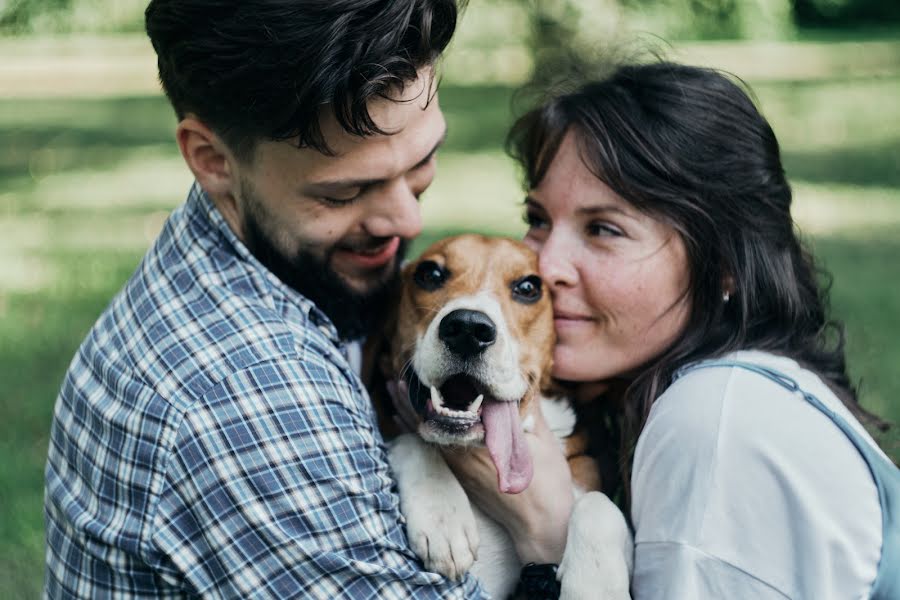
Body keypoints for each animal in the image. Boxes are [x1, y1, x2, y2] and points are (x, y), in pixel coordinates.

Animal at [366, 236, 632, 600]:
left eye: (528, 287)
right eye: (430, 274)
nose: (467, 328)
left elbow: (600, 504)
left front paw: (595, 586)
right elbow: (413, 440)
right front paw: (442, 514)